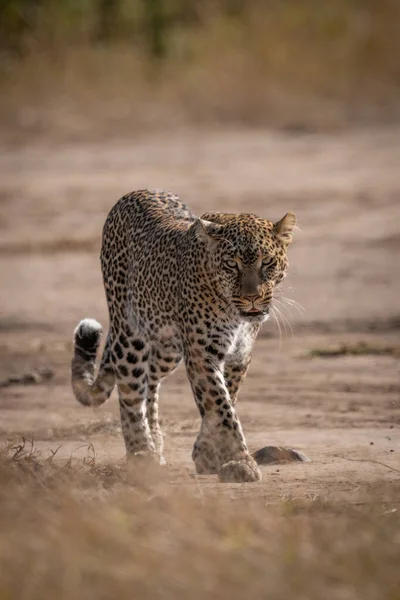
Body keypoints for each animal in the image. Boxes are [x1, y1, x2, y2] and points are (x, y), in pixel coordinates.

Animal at [70, 189, 300, 482]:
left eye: (267, 262)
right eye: (232, 264)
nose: (252, 298)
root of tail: (137, 192)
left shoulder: (239, 356)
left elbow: (225, 400)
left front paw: (207, 454)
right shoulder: (202, 353)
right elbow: (221, 407)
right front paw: (239, 461)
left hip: (168, 350)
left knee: (150, 381)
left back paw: (156, 442)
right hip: (130, 333)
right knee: (130, 389)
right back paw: (141, 454)